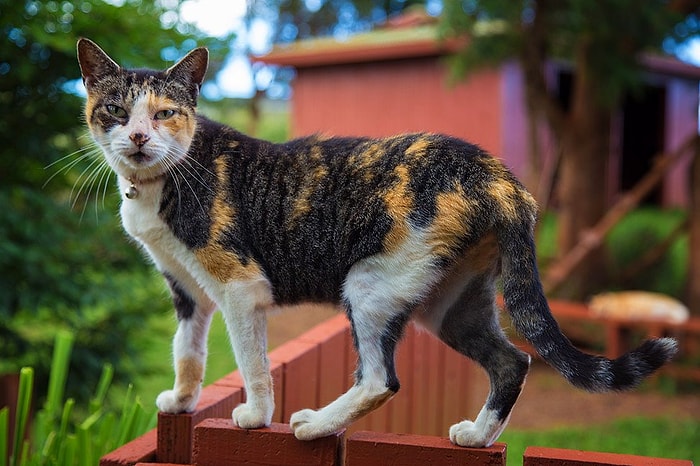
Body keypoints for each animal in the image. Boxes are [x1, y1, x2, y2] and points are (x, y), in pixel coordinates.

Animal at [78, 37, 680, 448]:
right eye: (115, 110)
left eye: (165, 113)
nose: (138, 136)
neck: (159, 185)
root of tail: (498, 175)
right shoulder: (187, 290)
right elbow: (187, 351)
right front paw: (182, 401)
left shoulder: (239, 287)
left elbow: (252, 362)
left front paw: (255, 416)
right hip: (451, 305)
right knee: (513, 361)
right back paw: (477, 436)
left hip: (370, 286)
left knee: (380, 379)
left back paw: (314, 424)